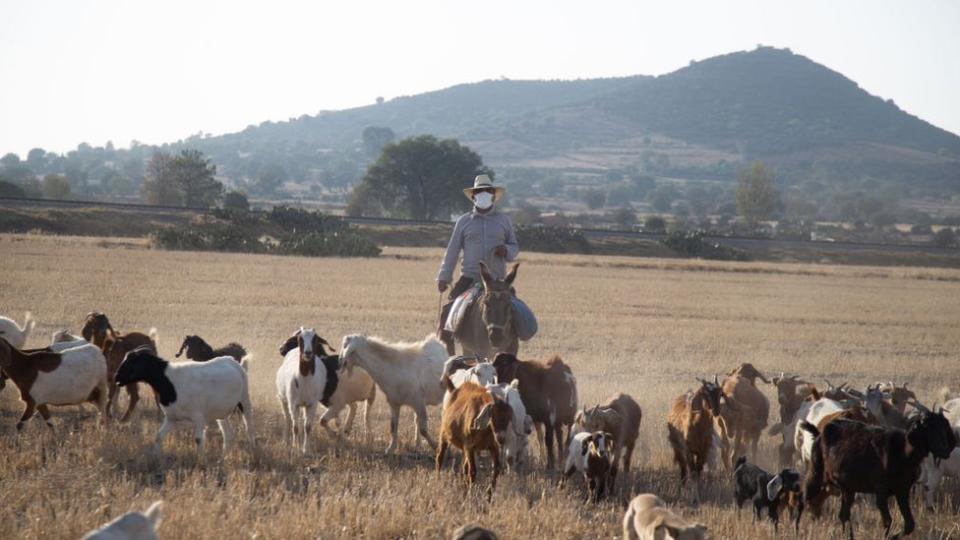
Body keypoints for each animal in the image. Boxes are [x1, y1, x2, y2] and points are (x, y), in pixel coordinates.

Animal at [115, 346, 255, 456]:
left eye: (133, 361)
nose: (116, 378)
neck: (170, 381)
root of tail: (234, 362)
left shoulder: (198, 417)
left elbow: (198, 439)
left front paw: (201, 462)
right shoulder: (171, 417)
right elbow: (158, 436)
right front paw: (156, 457)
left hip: (244, 400)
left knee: (249, 428)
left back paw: (254, 451)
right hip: (221, 412)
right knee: (228, 434)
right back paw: (223, 456)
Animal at [278, 326, 330, 454]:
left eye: (315, 338)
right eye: (299, 338)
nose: (308, 353)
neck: (304, 380)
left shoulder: (312, 404)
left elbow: (307, 427)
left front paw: (306, 450)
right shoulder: (293, 404)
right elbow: (295, 427)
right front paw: (295, 448)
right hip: (284, 400)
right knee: (288, 420)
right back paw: (286, 441)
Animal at [804, 400, 952, 540]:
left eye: (944, 425)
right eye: (926, 425)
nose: (944, 449)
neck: (903, 452)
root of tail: (820, 433)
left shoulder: (902, 491)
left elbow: (910, 524)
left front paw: (893, 536)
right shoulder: (881, 492)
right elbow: (887, 521)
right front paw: (888, 536)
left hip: (848, 488)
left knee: (843, 515)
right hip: (816, 474)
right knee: (807, 497)